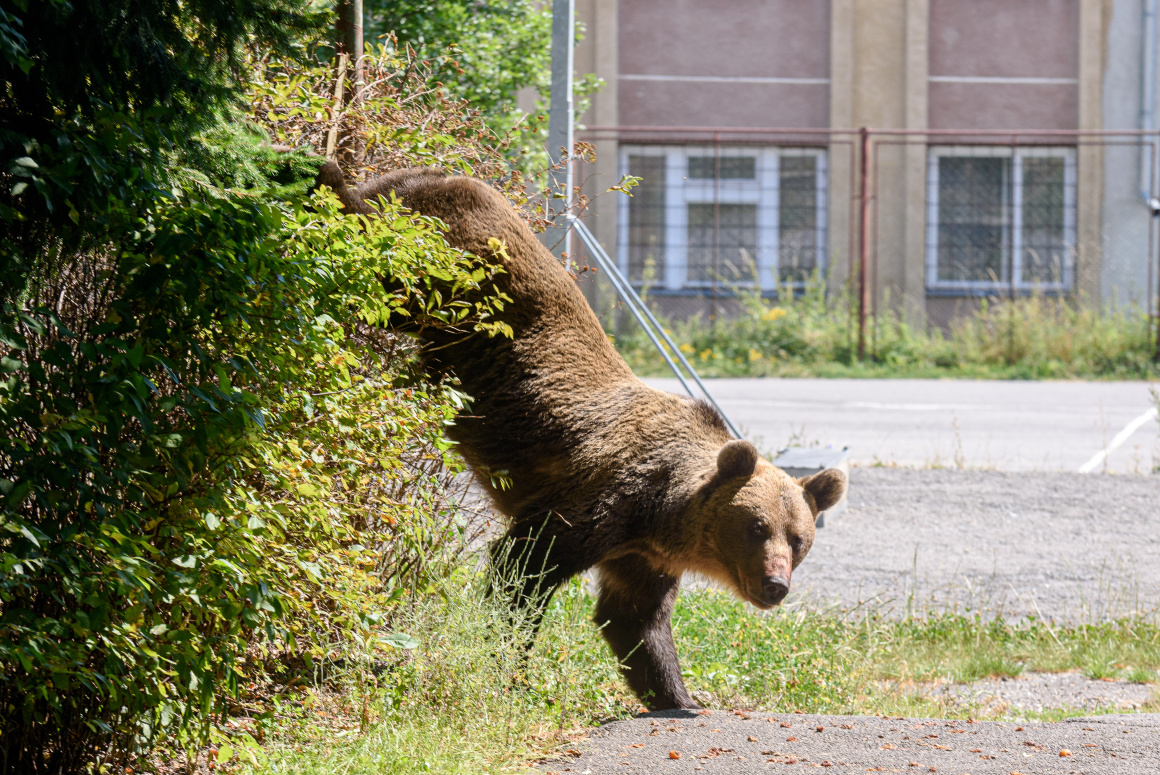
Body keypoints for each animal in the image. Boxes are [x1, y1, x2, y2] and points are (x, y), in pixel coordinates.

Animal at [313, 162, 849, 710]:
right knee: (385, 263)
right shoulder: (602, 501)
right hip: (445, 269)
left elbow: (634, 619)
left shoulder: (642, 556)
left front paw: (680, 696)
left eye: (798, 538)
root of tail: (440, 173)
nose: (775, 584)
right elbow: (523, 567)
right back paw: (324, 175)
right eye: (756, 528)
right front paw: (509, 669)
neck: (662, 513)